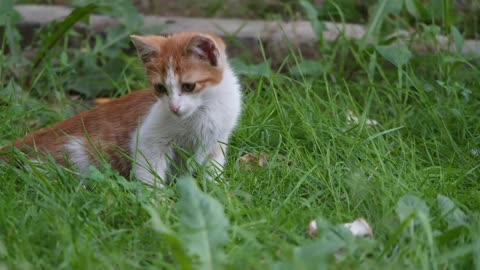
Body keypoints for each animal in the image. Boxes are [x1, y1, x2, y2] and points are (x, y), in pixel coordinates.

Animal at [3, 32, 242, 188]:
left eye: (189, 86)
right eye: (160, 88)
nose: (174, 107)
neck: (206, 108)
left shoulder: (218, 141)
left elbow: (213, 169)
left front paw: (218, 191)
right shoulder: (147, 138)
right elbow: (150, 171)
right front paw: (158, 203)